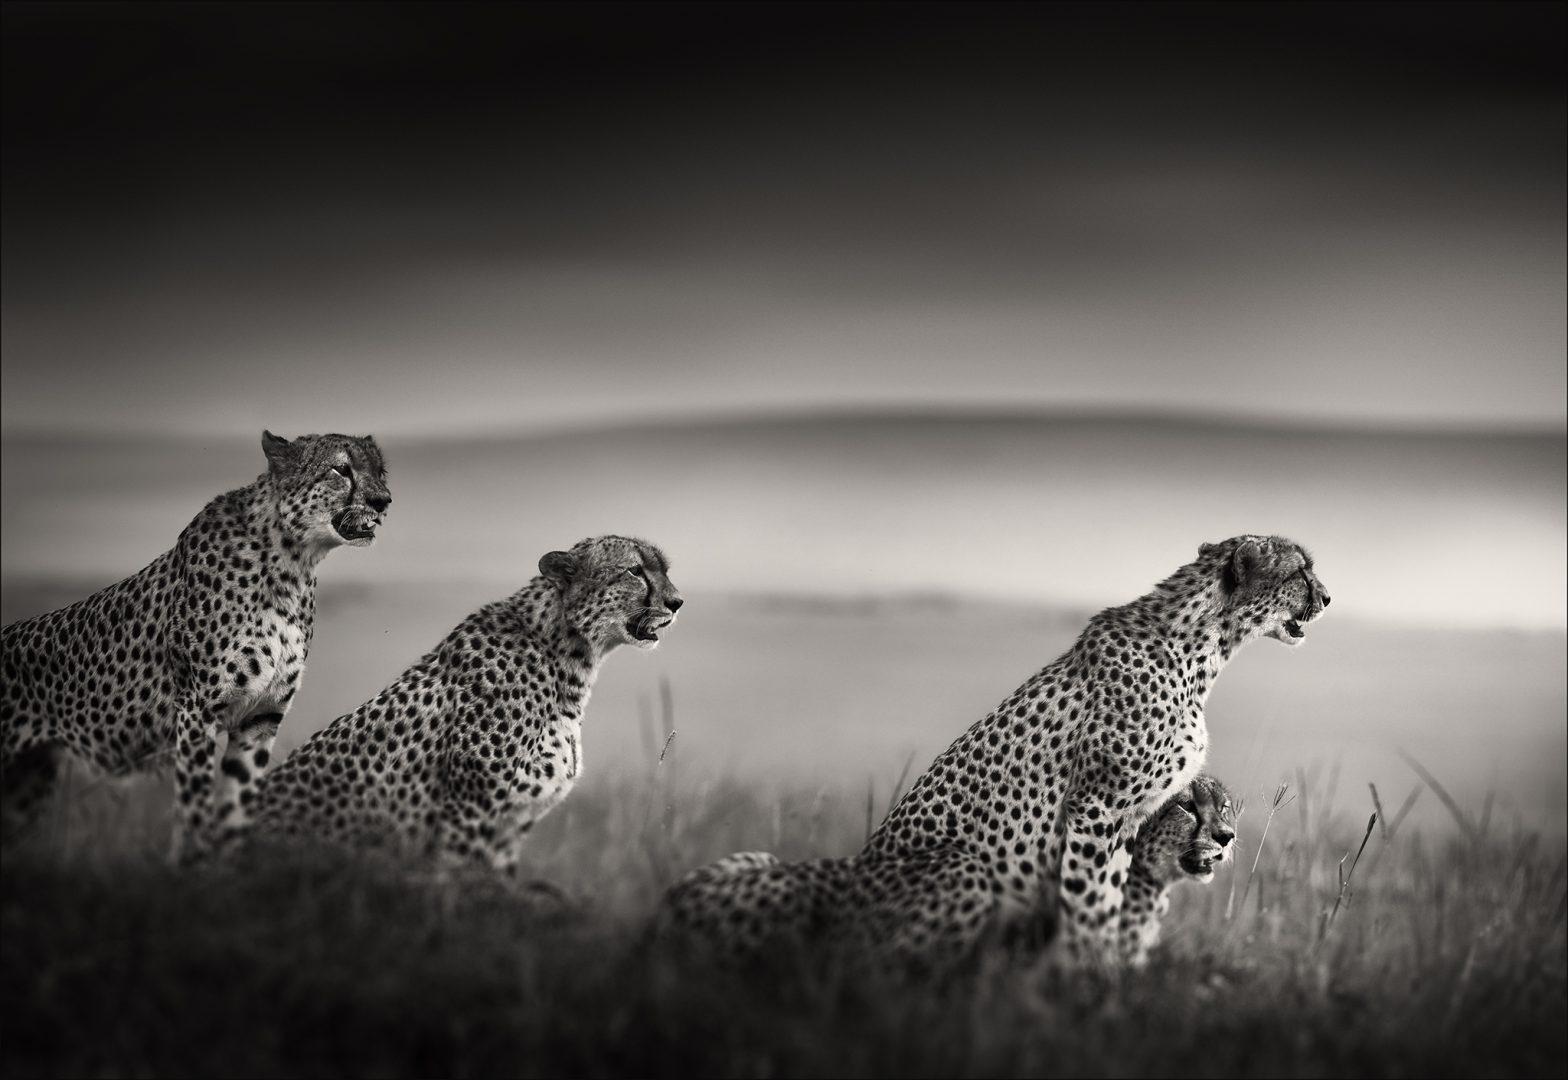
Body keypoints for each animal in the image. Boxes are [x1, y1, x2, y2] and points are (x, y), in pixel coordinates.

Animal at [0, 429, 388, 858]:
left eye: (379, 470)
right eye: (341, 469)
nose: (383, 500)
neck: (291, 565)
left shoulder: (261, 717)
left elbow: (237, 804)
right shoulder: (196, 710)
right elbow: (195, 802)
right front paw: (194, 862)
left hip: (26, 784)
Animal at [246, 532, 680, 877]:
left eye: (664, 569)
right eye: (635, 571)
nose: (677, 601)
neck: (566, 658)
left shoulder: (508, 831)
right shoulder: (470, 814)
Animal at [655, 536, 1329, 965]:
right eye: (1300, 572)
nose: (1326, 598)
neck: (1202, 649)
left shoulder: (1127, 821)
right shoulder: (1098, 811)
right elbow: (1093, 907)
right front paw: (1092, 990)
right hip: (964, 870)